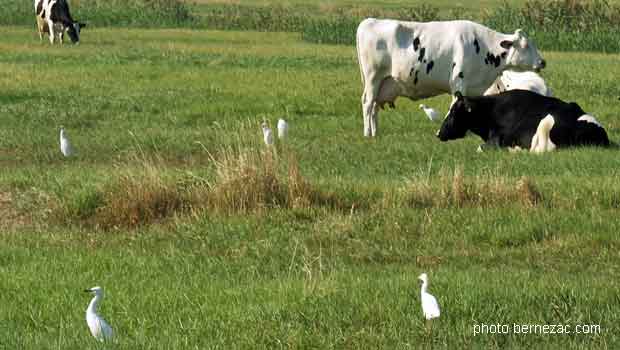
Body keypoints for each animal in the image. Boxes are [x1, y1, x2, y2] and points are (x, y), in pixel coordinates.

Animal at [356, 18, 544, 137]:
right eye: (526, 45)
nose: (543, 62)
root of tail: (369, 21)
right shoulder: (459, 82)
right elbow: (455, 104)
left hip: (383, 83)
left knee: (374, 107)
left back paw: (376, 132)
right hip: (373, 78)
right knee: (367, 103)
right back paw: (367, 134)